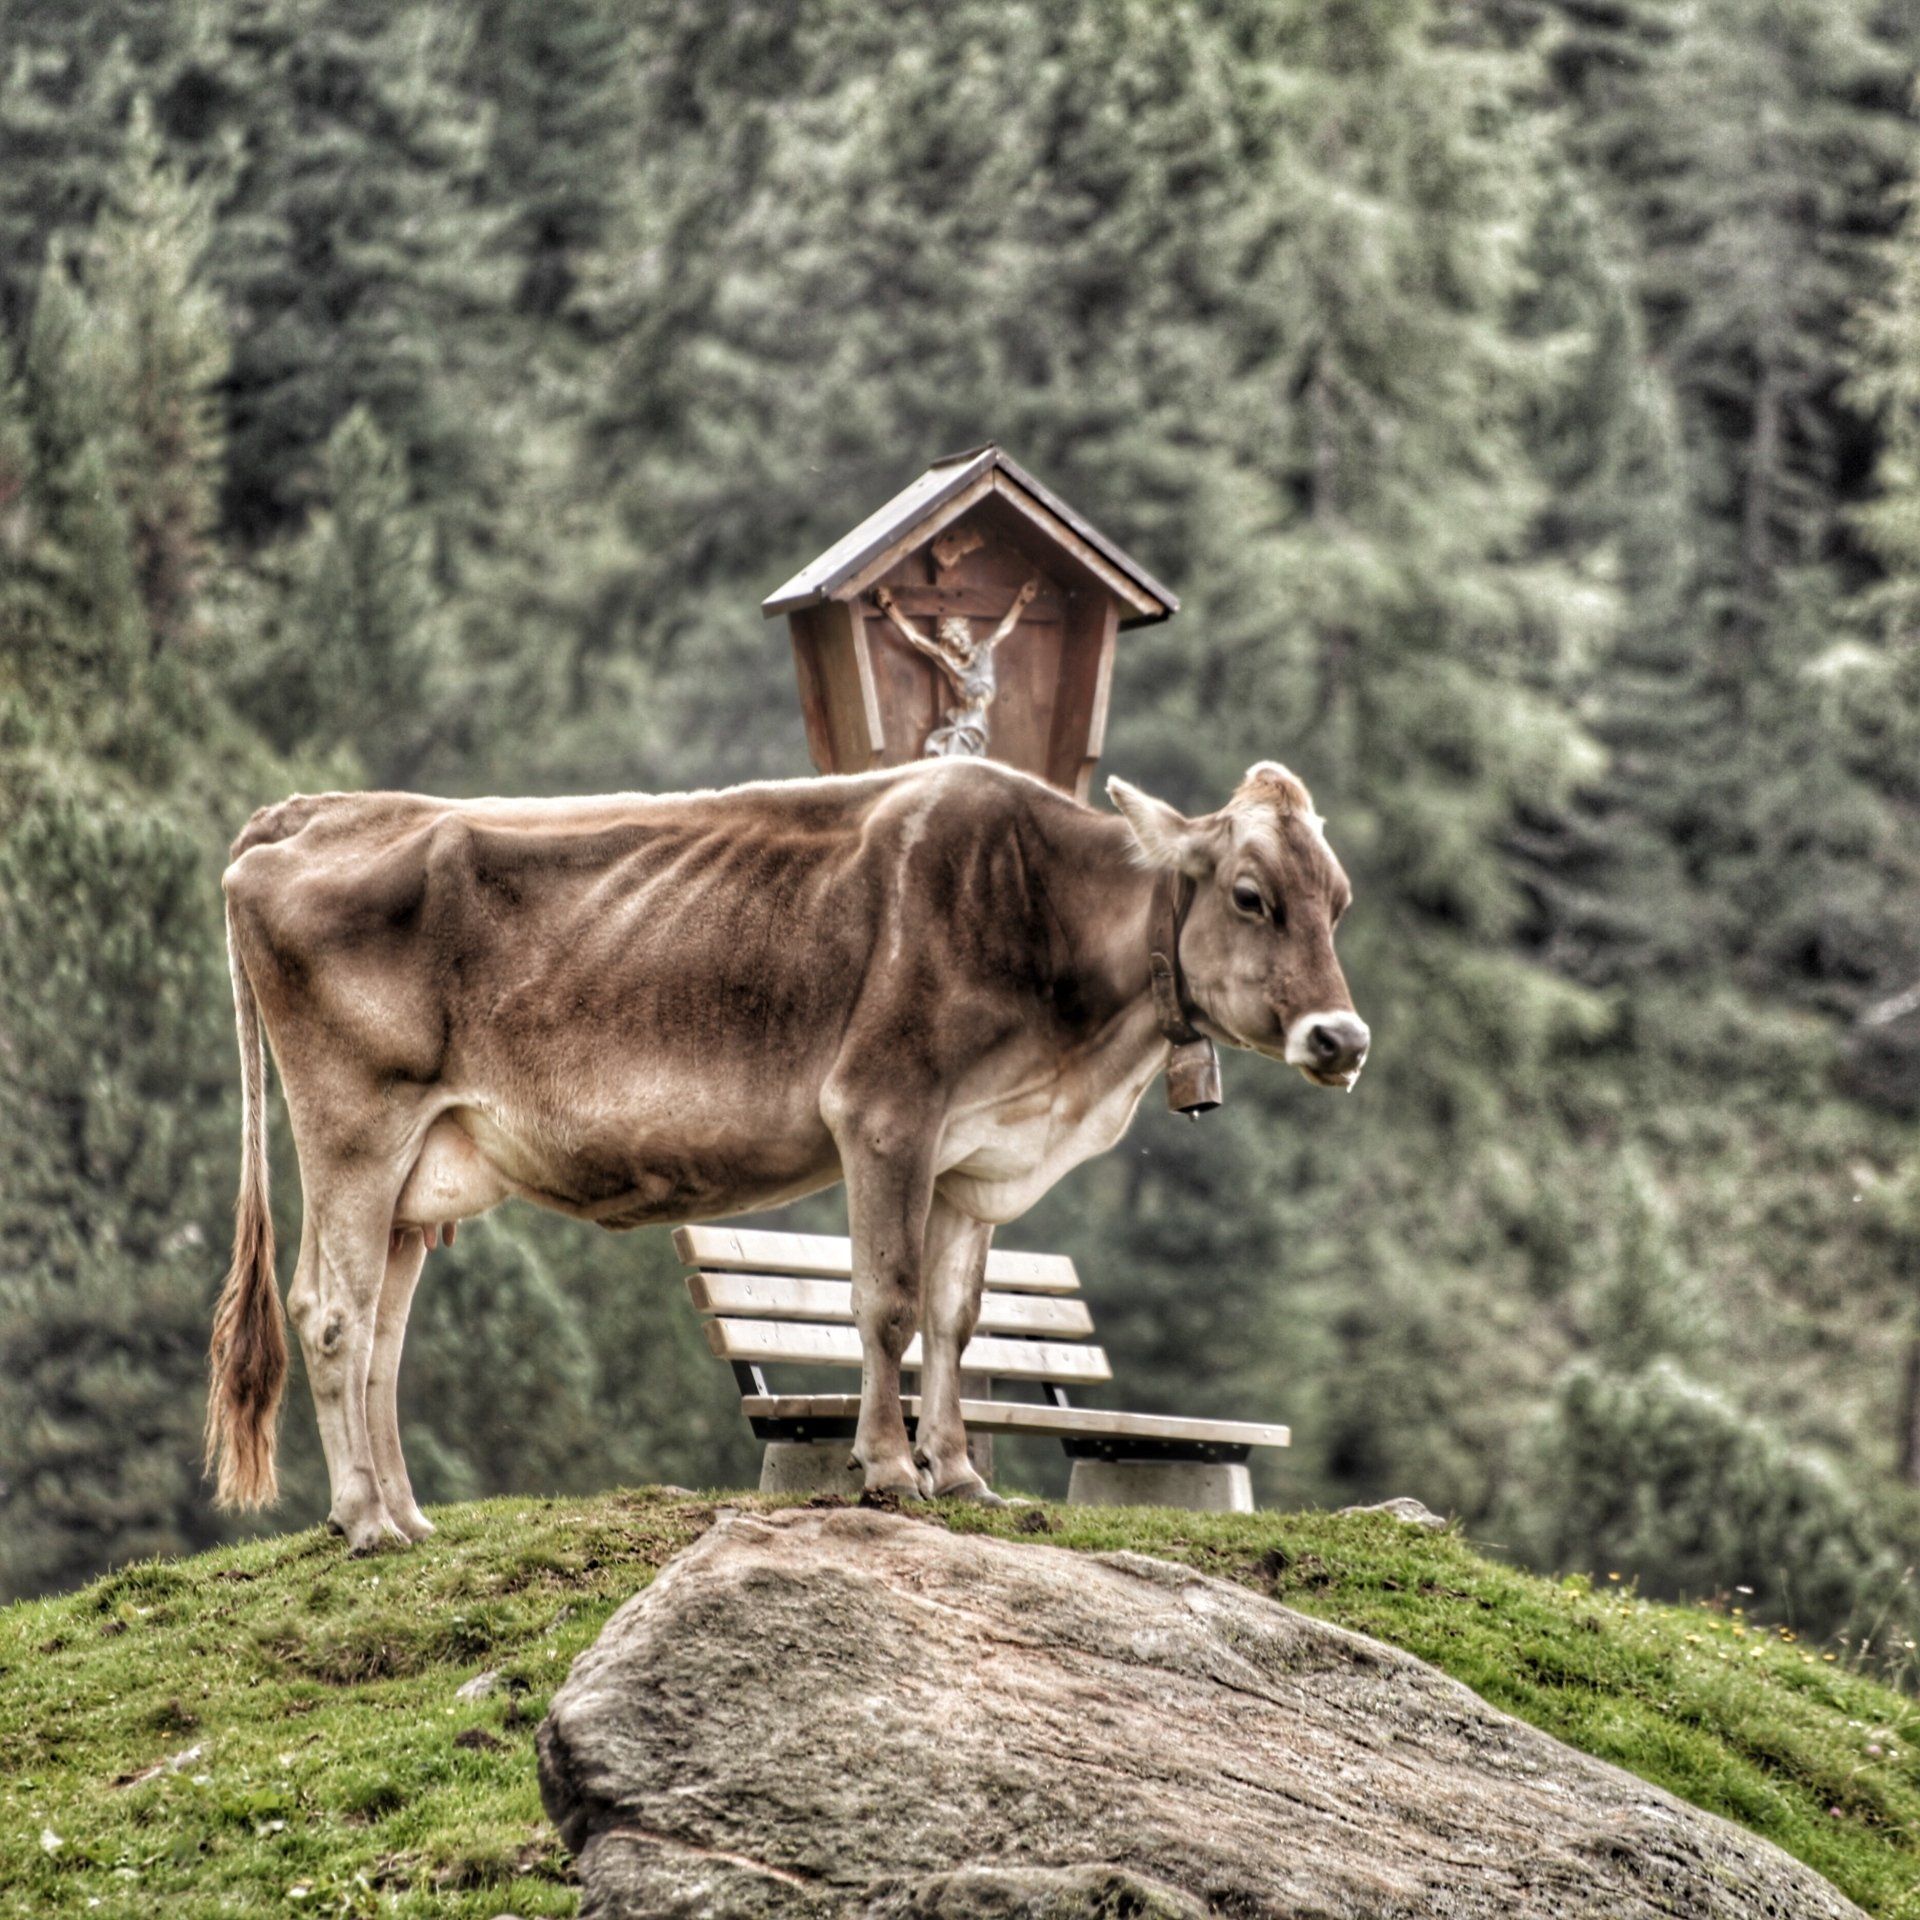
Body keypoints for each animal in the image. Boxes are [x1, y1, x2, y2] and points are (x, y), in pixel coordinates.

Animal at [206, 756, 1367, 1549]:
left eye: (1340, 901)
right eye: (1251, 896)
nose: (1342, 1040)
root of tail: (310, 813)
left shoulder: (969, 1152)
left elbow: (956, 1319)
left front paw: (960, 1474)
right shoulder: (885, 1111)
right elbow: (887, 1301)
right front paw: (890, 1469)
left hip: (420, 1165)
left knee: (384, 1335)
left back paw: (407, 1515)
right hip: (356, 1123)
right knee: (332, 1311)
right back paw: (365, 1520)